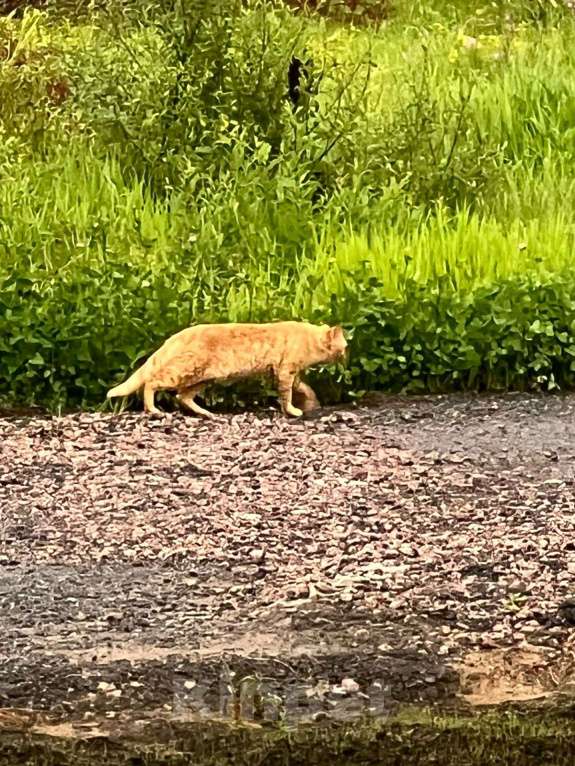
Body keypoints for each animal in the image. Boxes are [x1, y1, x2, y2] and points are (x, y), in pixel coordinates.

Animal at [106, 322, 348, 424]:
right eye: (345, 346)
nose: (347, 356)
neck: (310, 339)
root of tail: (176, 335)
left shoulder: (286, 372)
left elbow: (300, 387)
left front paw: (308, 399)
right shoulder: (285, 370)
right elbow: (286, 394)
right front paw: (292, 410)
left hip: (203, 378)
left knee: (182, 396)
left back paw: (207, 414)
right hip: (186, 369)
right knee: (152, 383)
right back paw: (154, 410)